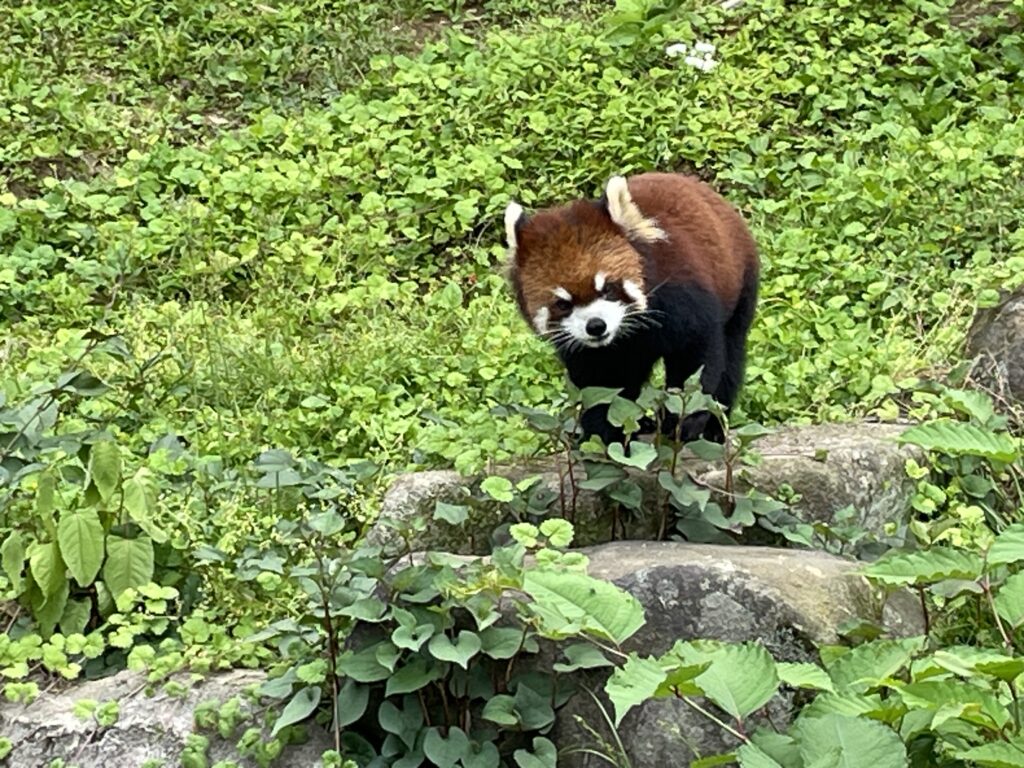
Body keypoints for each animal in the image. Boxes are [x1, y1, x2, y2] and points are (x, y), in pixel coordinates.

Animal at [505, 171, 761, 442]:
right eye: (563, 303)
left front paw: (682, 421)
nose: (596, 326)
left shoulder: (684, 302)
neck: (626, 332)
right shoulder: (588, 350)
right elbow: (600, 387)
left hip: (742, 285)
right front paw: (606, 436)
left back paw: (715, 427)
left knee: (731, 355)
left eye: (607, 288)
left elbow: (696, 361)